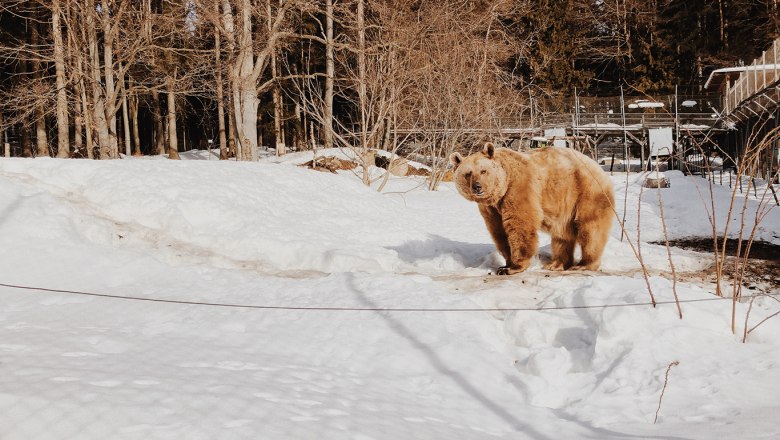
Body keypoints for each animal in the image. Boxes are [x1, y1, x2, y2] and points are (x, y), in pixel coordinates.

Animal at [450, 143, 616, 274]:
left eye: (483, 171)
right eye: (468, 173)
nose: (477, 186)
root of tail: (598, 167)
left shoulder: (519, 187)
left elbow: (520, 224)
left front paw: (514, 267)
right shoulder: (490, 208)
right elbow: (499, 232)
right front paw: (505, 264)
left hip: (586, 192)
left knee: (590, 229)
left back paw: (583, 264)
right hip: (565, 204)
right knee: (562, 235)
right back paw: (556, 264)